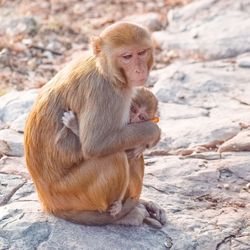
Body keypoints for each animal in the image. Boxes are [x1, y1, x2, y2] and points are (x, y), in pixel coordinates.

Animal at [24, 22, 166, 228]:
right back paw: (119, 214)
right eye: (127, 57)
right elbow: (96, 144)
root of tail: (47, 202)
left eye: (141, 52)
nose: (139, 70)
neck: (104, 68)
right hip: (73, 193)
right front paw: (153, 132)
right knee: (115, 156)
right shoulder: (106, 94)